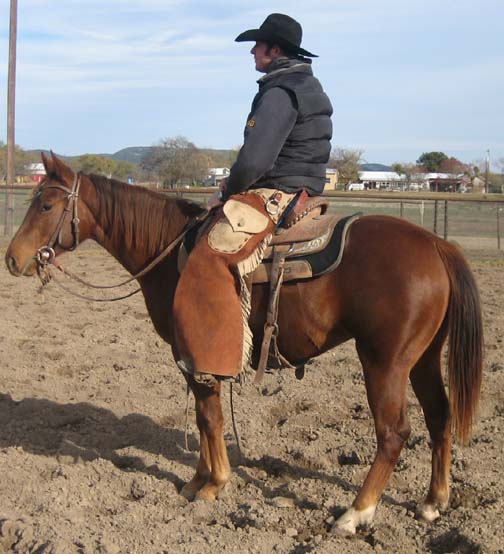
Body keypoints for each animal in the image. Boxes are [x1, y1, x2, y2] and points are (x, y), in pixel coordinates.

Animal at [4, 153, 484, 532]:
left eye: (46, 204)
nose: (13, 259)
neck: (168, 250)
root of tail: (436, 245)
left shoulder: (194, 351)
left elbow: (209, 416)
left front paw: (213, 483)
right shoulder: (189, 354)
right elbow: (204, 418)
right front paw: (197, 479)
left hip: (384, 362)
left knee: (393, 432)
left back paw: (356, 513)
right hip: (422, 360)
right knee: (439, 417)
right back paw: (432, 502)